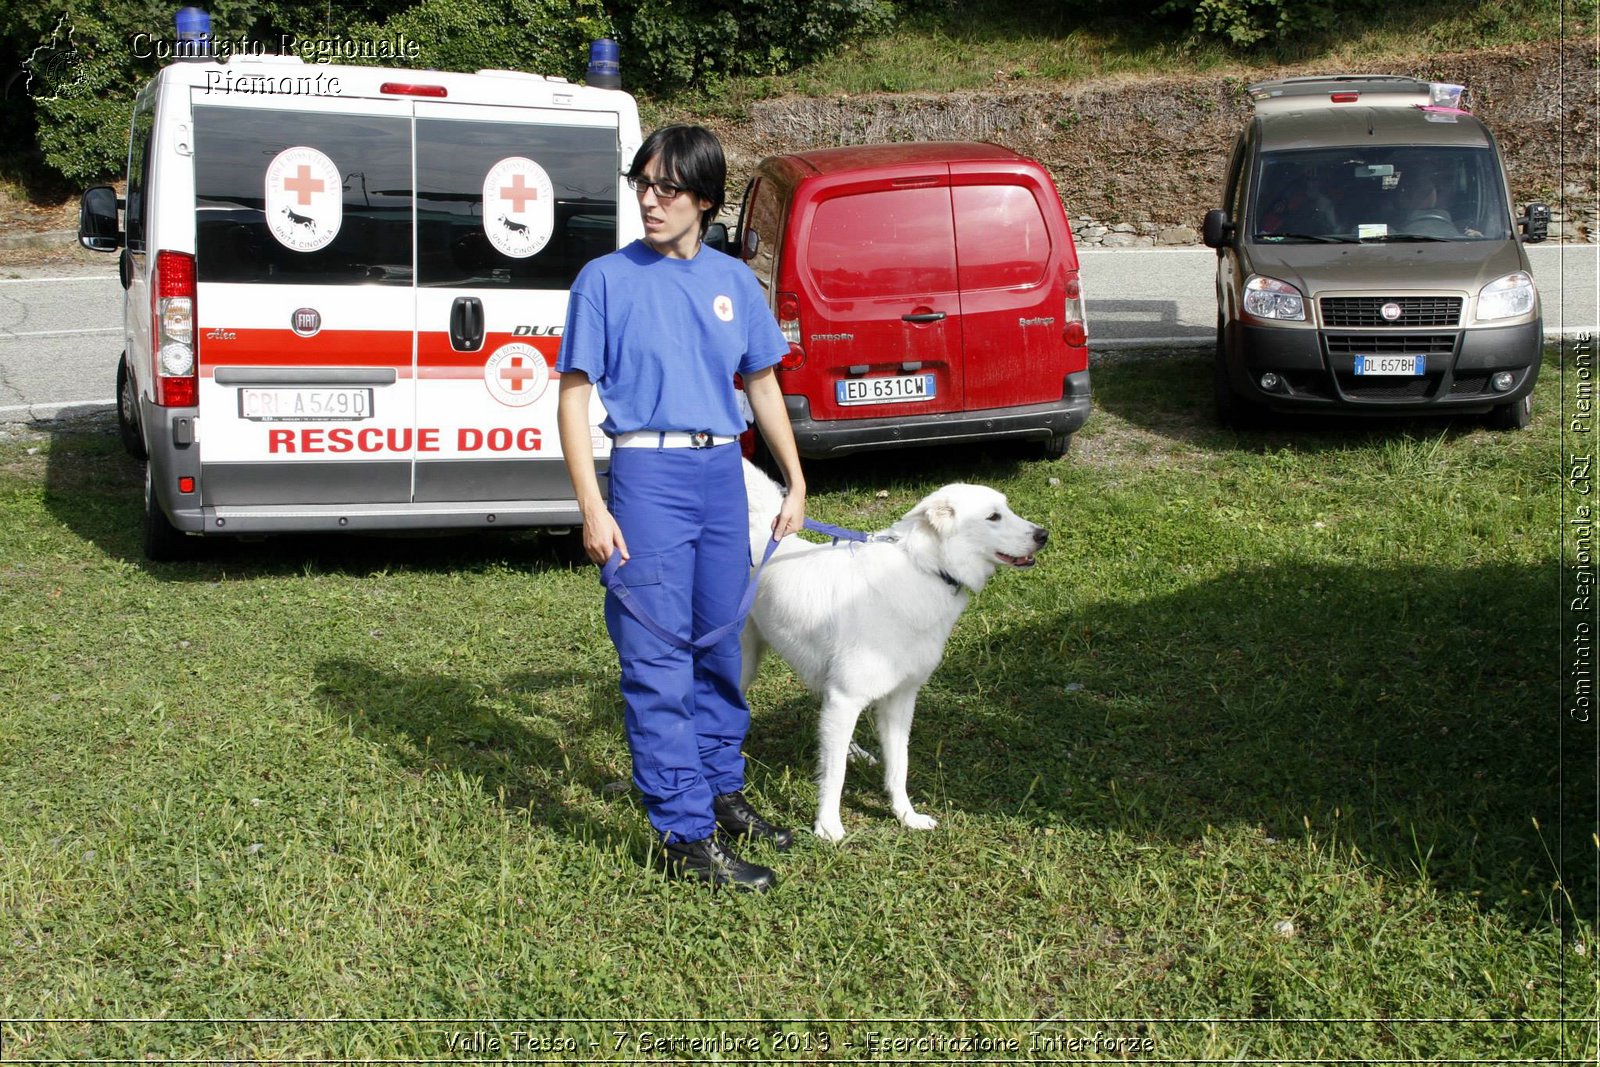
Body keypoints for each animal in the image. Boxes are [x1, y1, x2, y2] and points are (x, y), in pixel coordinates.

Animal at [739, 460, 1049, 844]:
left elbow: (899, 766)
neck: (926, 569)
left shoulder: (899, 700)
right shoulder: (846, 698)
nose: (1043, 535)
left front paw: (906, 816)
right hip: (744, 663)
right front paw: (828, 826)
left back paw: (855, 752)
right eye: (994, 517)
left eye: (1007, 509)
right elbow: (835, 775)